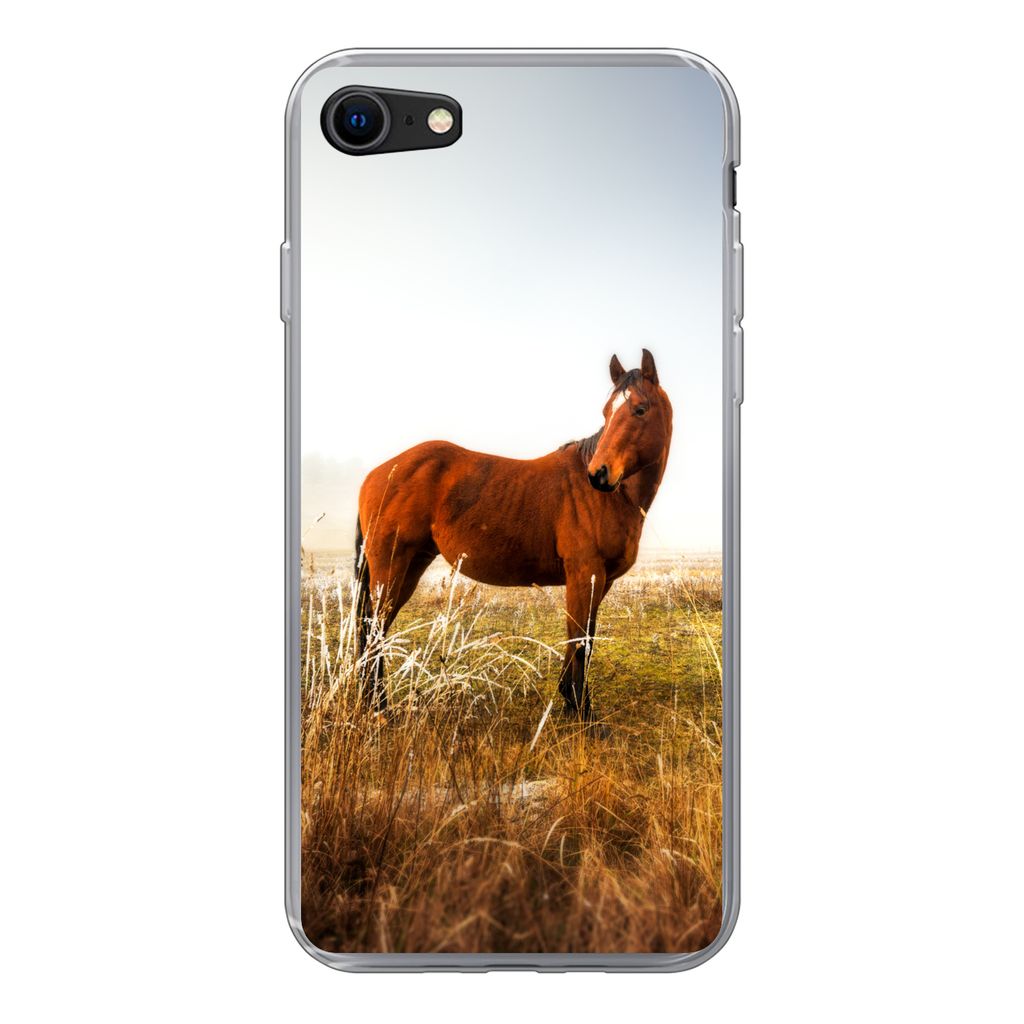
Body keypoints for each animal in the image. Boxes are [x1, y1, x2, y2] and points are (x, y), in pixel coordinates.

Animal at [354, 349, 672, 719]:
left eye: (639, 409)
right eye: (607, 412)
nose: (598, 474)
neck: (614, 497)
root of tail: (377, 474)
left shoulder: (600, 580)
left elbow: (584, 638)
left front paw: (571, 701)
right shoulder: (585, 573)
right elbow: (579, 640)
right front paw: (582, 711)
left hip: (410, 566)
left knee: (377, 629)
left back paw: (377, 702)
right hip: (390, 567)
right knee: (375, 631)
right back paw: (379, 707)